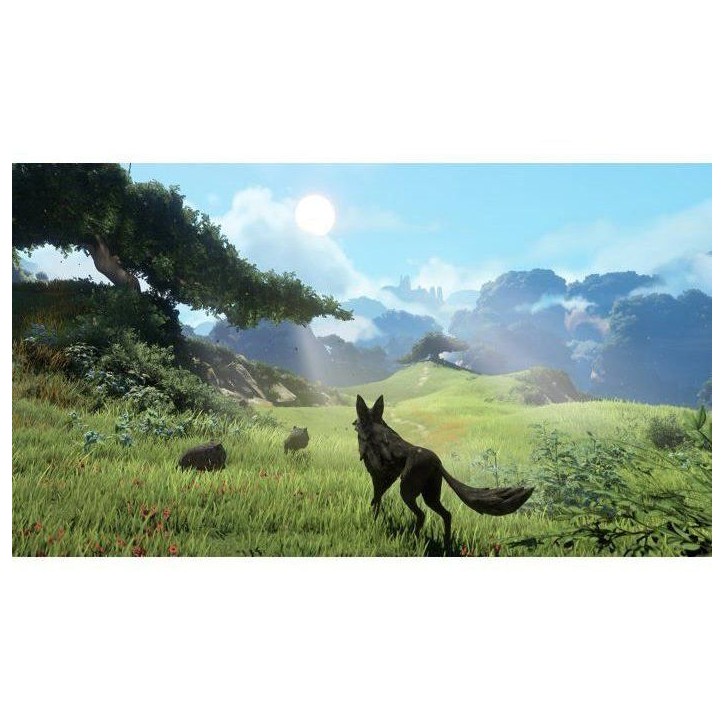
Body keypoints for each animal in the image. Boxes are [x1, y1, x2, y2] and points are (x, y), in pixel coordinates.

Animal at [353, 395, 534, 550]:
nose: (354, 422)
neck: (373, 425)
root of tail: (437, 462)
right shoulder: (387, 477)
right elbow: (376, 501)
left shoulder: (378, 476)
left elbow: (375, 502)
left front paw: (373, 523)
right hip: (430, 496)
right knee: (447, 514)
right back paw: (446, 545)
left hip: (408, 492)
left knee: (422, 515)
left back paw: (414, 540)